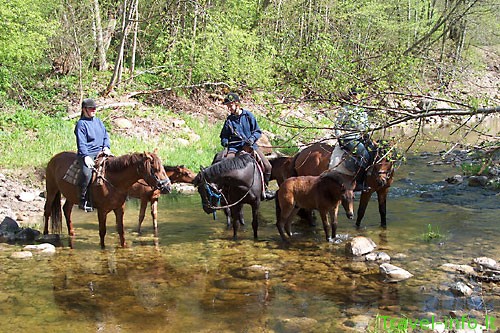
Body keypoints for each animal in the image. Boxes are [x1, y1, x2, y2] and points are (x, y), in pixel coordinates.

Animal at [43, 150, 172, 246]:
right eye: (155, 169)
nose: (168, 187)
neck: (113, 182)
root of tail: (54, 158)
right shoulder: (102, 210)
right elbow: (102, 231)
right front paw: (103, 248)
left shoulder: (119, 208)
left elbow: (121, 230)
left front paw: (123, 246)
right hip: (51, 189)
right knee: (47, 210)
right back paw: (45, 234)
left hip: (70, 196)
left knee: (66, 210)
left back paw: (72, 233)